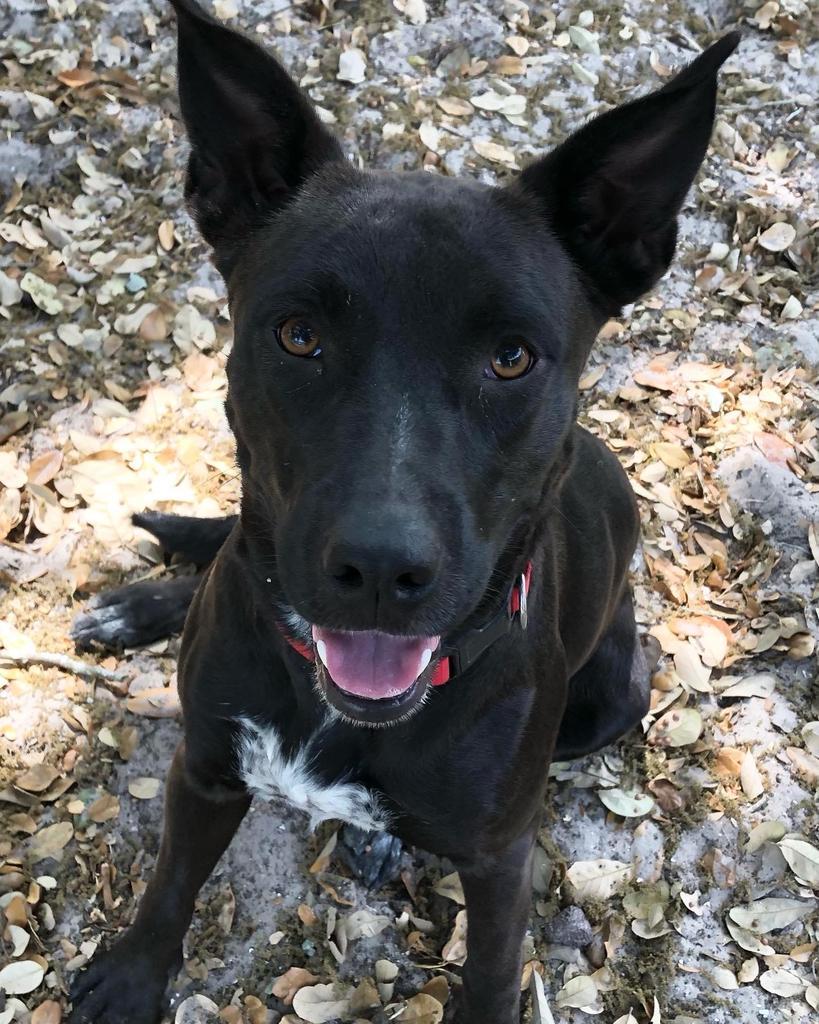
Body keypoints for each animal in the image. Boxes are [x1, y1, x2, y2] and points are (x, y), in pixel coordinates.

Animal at [68, 4, 737, 1019]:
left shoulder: (500, 863)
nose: (380, 570)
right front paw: (136, 974)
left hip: (611, 699)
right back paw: (137, 606)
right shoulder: (205, 769)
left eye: (511, 357)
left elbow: (492, 974)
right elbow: (170, 883)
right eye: (297, 334)